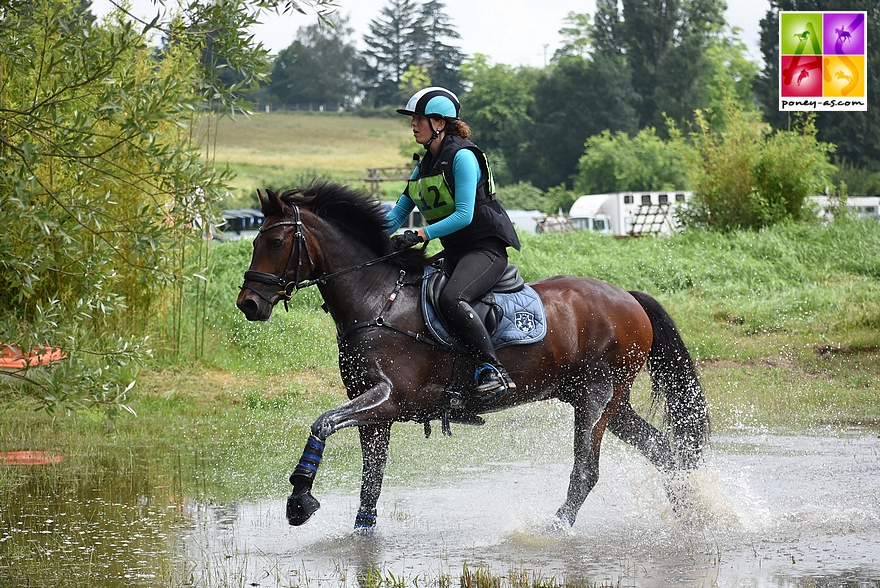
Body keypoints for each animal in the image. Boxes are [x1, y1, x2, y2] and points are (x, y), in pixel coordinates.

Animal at [235, 181, 708, 532]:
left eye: (274, 241)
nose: (248, 304)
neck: (377, 299)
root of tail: (626, 296)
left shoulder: (388, 398)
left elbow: (322, 423)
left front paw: (299, 499)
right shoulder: (374, 412)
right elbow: (371, 481)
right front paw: (360, 535)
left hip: (596, 396)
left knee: (587, 470)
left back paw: (555, 528)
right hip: (606, 400)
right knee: (665, 451)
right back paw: (688, 511)